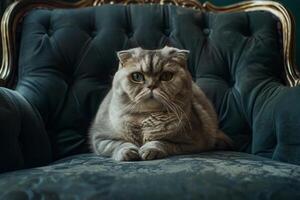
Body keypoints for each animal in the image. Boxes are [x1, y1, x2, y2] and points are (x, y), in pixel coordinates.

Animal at [88, 45, 233, 161]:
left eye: (166, 76)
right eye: (137, 76)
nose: (151, 86)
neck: (145, 118)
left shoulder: (192, 143)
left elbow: (162, 142)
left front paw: (149, 149)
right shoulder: (100, 139)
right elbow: (120, 144)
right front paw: (128, 152)